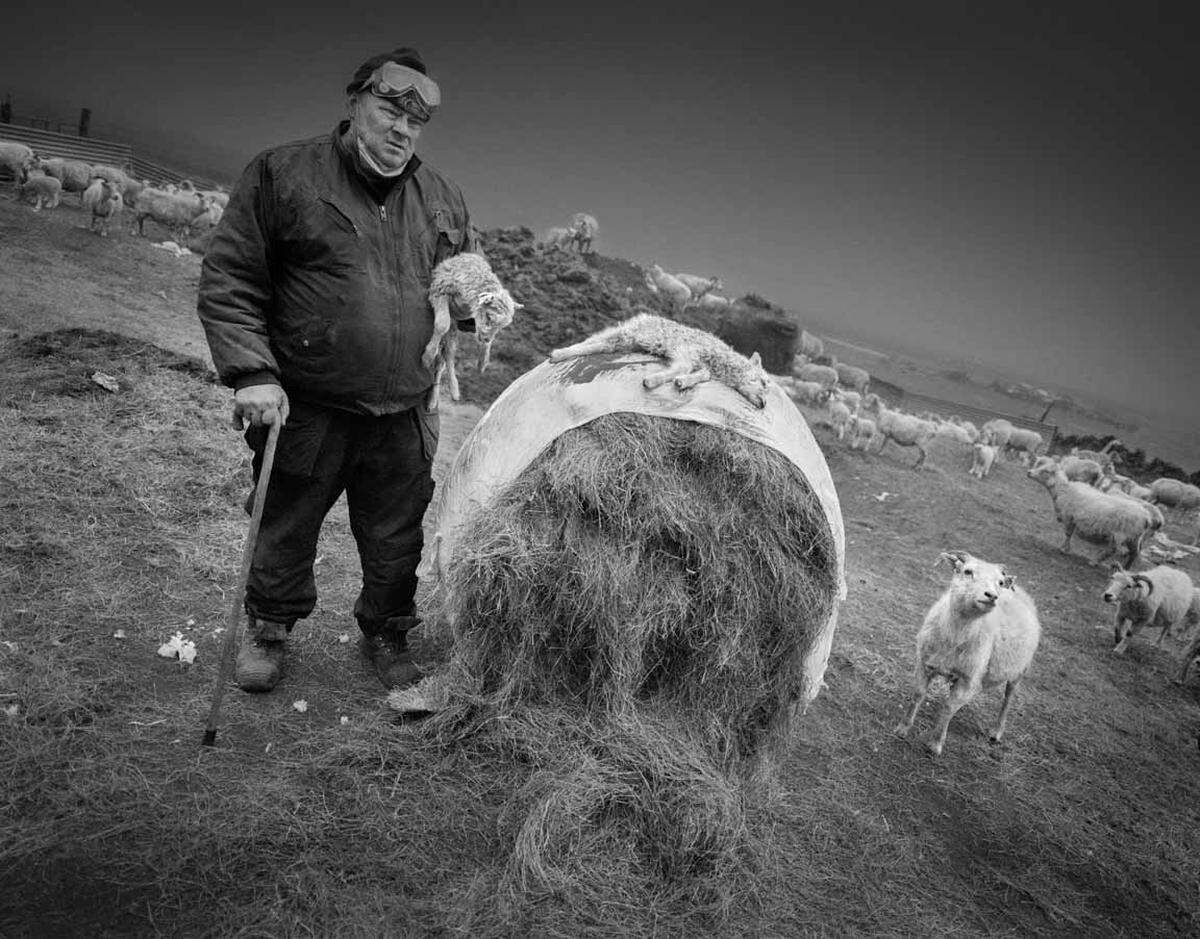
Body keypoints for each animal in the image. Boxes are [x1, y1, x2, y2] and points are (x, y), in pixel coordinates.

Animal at [422, 249, 520, 413]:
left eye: (501, 327)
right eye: (489, 316)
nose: (487, 339)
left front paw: (483, 362)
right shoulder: (440, 289)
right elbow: (442, 324)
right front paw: (427, 355)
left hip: (452, 332)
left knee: (444, 359)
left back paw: (449, 392)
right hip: (451, 329)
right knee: (444, 357)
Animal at [897, 552, 1036, 758]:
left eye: (1000, 582)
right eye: (967, 571)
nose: (992, 596)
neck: (954, 637)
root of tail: (1019, 589)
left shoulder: (968, 679)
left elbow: (949, 707)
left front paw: (935, 743)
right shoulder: (923, 663)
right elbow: (918, 694)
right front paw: (903, 729)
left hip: (1019, 671)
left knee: (1007, 699)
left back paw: (996, 732)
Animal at [1027, 461, 1156, 569]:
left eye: (1045, 471)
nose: (1029, 472)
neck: (1063, 490)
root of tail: (1146, 517)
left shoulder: (1069, 517)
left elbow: (1068, 534)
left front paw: (1064, 549)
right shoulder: (1073, 519)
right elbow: (1070, 534)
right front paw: (1066, 548)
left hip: (1120, 534)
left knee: (1113, 550)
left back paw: (1095, 562)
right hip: (1134, 537)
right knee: (1135, 553)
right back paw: (1125, 569)